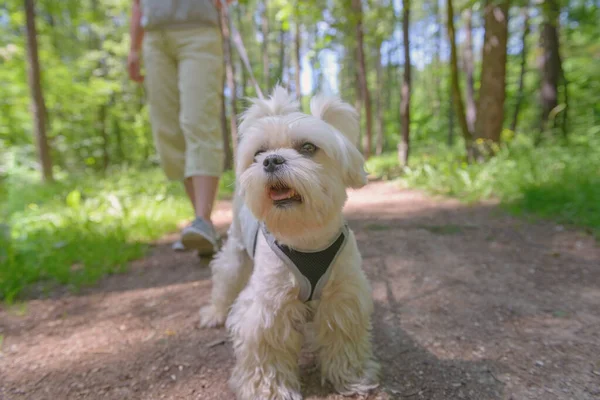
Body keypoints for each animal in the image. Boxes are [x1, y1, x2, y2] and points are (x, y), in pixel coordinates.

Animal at [202, 86, 380, 398]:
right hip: (235, 254)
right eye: (259, 153)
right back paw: (215, 312)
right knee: (224, 280)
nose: (271, 160)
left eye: (308, 147)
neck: (304, 237)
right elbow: (267, 353)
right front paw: (268, 390)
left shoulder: (342, 297)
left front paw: (351, 377)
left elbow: (344, 339)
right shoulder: (267, 308)